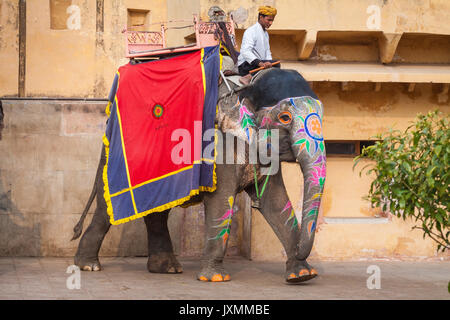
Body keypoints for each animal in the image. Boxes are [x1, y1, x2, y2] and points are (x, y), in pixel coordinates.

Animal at [73, 66, 326, 284]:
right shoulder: (218, 148)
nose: (299, 251)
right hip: (115, 162)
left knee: (157, 212)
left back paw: (167, 269)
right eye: (284, 118)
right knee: (107, 208)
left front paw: (302, 275)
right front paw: (216, 278)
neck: (246, 87)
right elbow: (221, 200)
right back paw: (88, 266)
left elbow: (275, 202)